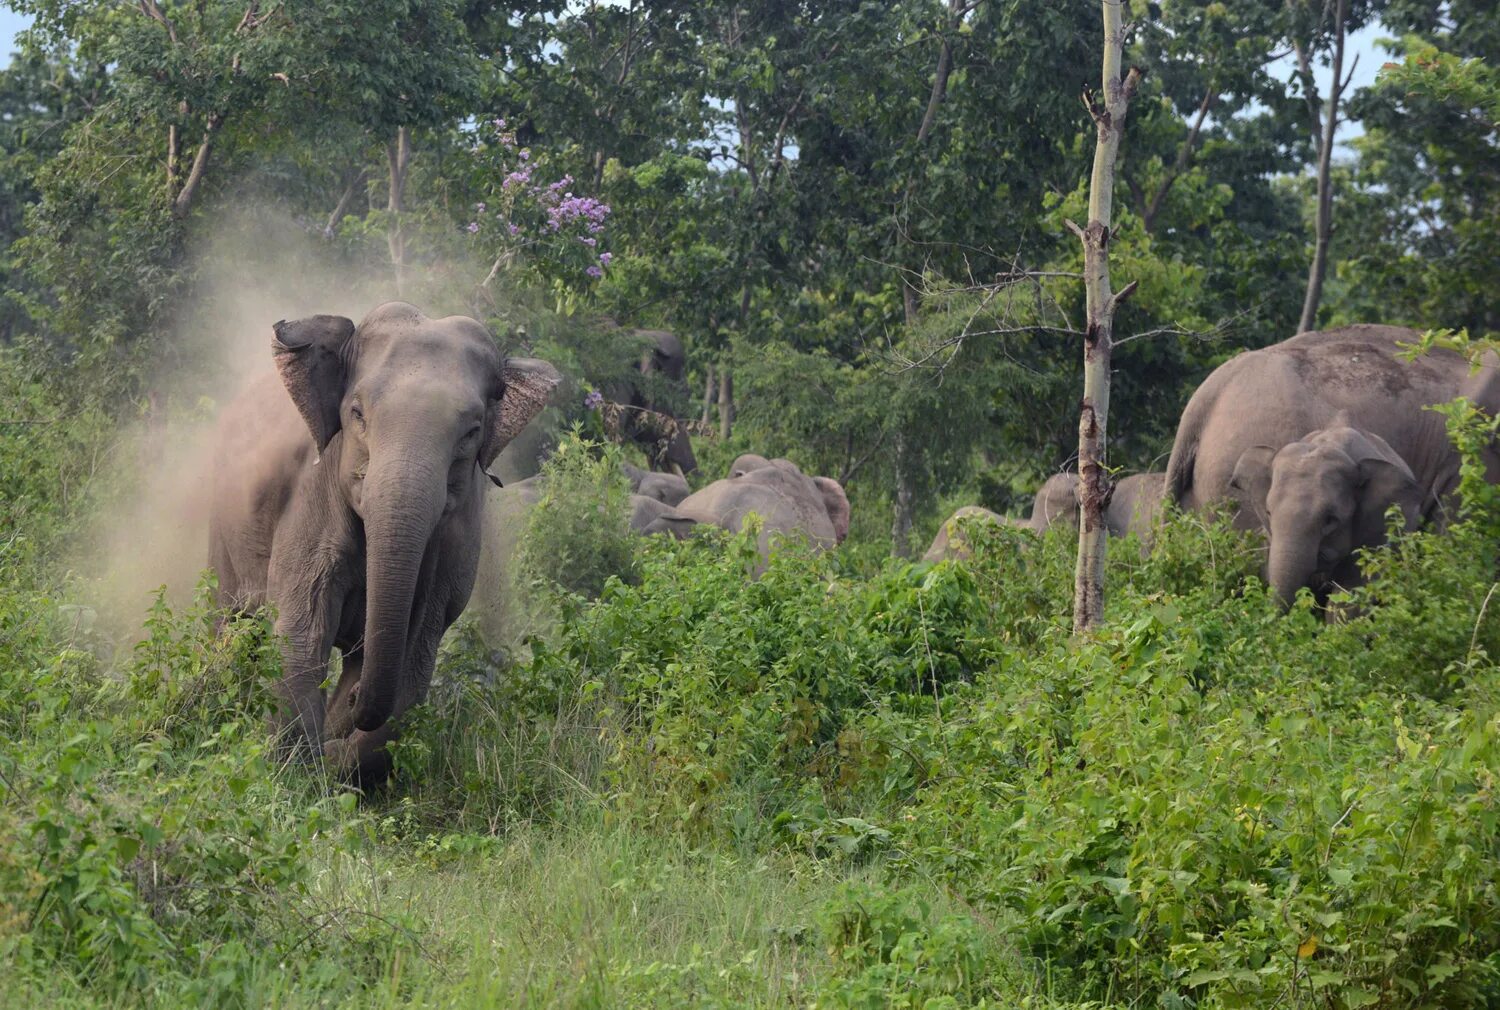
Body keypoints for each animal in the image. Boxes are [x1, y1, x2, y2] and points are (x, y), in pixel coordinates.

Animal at [208, 300, 561, 780]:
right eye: (357, 413)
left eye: (471, 432)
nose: (356, 700)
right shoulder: (313, 495)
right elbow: (301, 629)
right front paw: (300, 773)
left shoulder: (457, 537)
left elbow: (416, 655)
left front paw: (336, 757)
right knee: (231, 618)